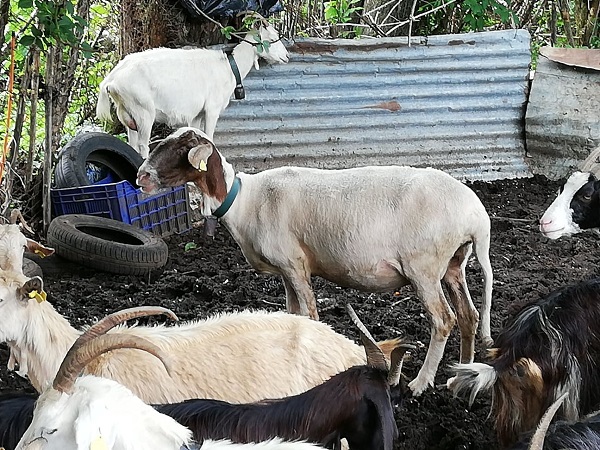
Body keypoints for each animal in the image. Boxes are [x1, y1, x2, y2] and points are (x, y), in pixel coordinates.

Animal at [138, 127, 494, 398]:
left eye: (182, 148)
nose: (141, 177)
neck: (242, 200)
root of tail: (476, 218)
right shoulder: (286, 269)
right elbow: (293, 313)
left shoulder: (294, 263)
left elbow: (310, 314)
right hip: (453, 264)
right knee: (469, 315)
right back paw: (459, 374)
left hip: (424, 267)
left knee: (444, 320)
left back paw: (421, 383)